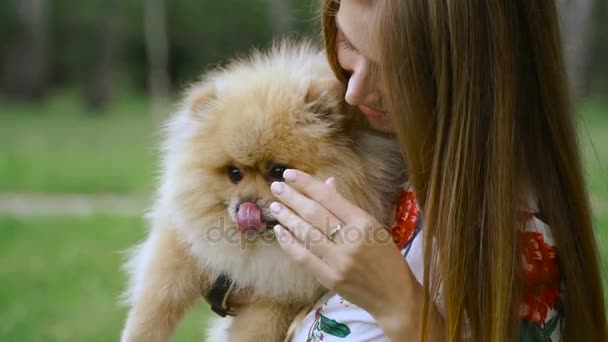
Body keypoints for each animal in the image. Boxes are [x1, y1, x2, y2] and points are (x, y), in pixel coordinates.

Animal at [120, 40, 404, 342]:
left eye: (278, 172)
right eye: (234, 174)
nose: (245, 206)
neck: (257, 251)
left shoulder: (277, 298)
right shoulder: (179, 249)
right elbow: (154, 307)